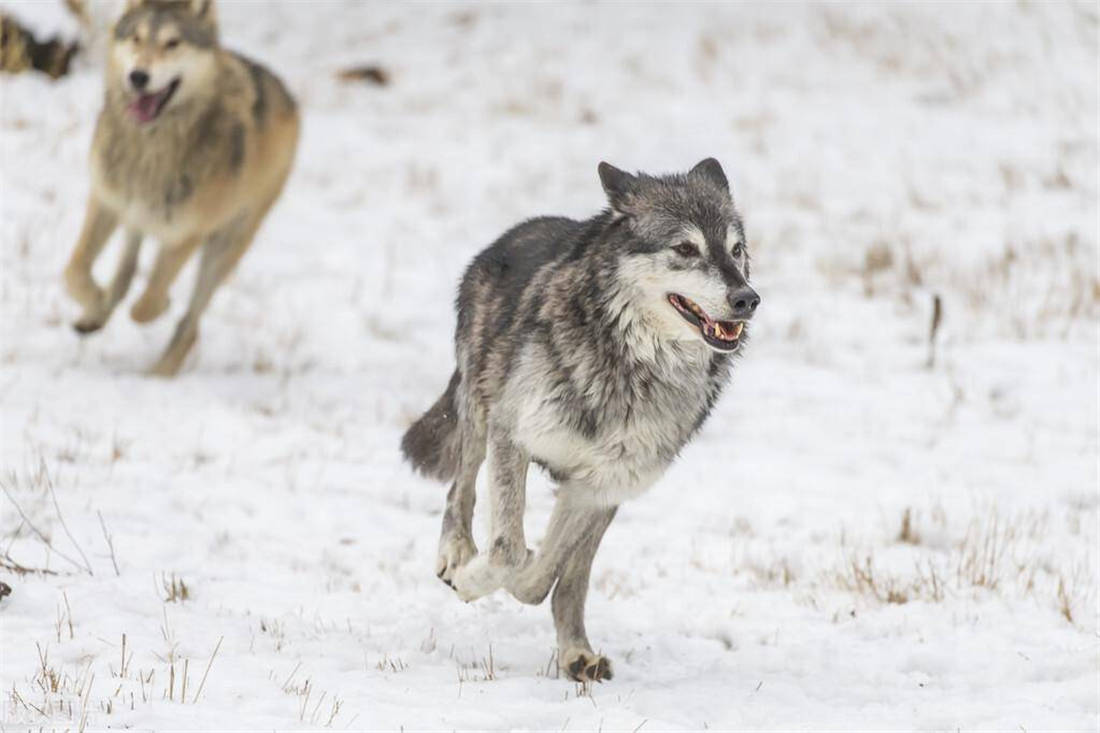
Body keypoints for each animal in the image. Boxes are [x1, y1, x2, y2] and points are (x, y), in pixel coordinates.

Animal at [62, 0, 299, 374]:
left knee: (191, 322)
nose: (138, 76)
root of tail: (285, 92)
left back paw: (160, 373)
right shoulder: (107, 201)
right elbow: (74, 271)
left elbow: (146, 305)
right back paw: (97, 316)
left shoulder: (187, 233)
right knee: (127, 271)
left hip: (224, 245)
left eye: (172, 44)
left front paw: (161, 304)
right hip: (138, 217)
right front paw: (95, 304)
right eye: (136, 38)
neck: (151, 148)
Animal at [402, 158, 756, 677]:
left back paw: (575, 653)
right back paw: (456, 554)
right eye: (686, 248)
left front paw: (565, 635)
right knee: (459, 487)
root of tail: (520, 231)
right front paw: (470, 579)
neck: (632, 367)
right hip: (481, 407)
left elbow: (553, 575)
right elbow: (509, 552)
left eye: (736, 250)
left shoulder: (602, 484)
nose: (747, 298)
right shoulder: (512, 436)